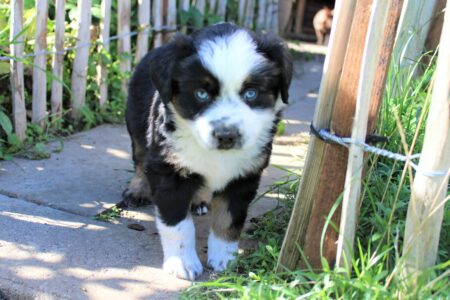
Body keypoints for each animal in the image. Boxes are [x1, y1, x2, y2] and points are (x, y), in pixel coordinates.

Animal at [123, 22, 294, 280]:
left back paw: (200, 201)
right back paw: (137, 190)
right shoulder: (169, 169)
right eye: (201, 94)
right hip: (136, 124)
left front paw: (224, 258)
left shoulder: (244, 175)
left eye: (251, 93)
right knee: (141, 161)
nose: (226, 135)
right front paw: (182, 264)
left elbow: (229, 219)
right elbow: (178, 225)